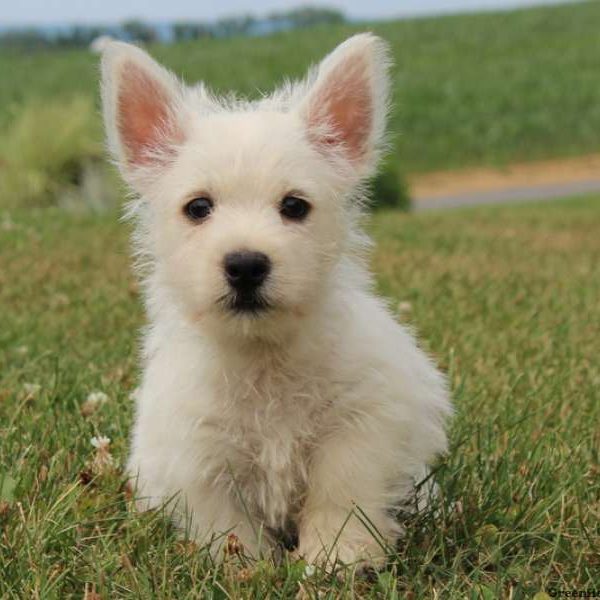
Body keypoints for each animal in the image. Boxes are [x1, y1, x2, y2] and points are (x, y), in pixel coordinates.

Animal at [102, 34, 450, 572]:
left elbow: (342, 492)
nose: (246, 264)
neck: (264, 355)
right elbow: (225, 521)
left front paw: (336, 557)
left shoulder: (362, 422)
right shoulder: (196, 449)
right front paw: (245, 568)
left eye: (294, 206)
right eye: (197, 207)